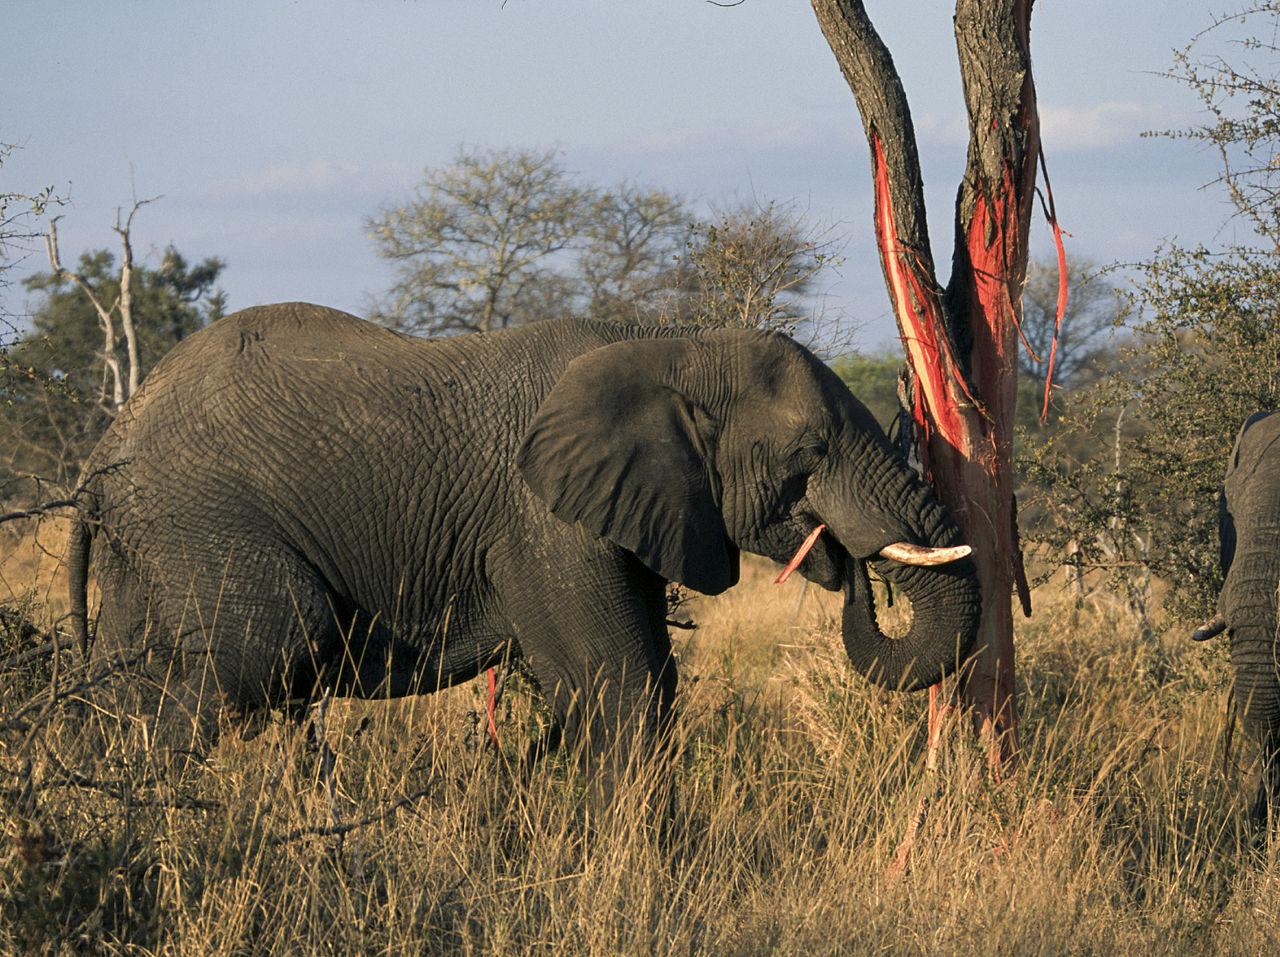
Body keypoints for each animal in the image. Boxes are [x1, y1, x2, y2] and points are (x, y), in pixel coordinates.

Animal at [67, 302, 980, 774]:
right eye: (809, 453)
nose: (850, 558)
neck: (666, 344)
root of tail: (106, 446)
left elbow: (646, 679)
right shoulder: (544, 520)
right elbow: (623, 684)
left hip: (150, 539)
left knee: (129, 674)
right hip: (201, 515)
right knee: (272, 645)